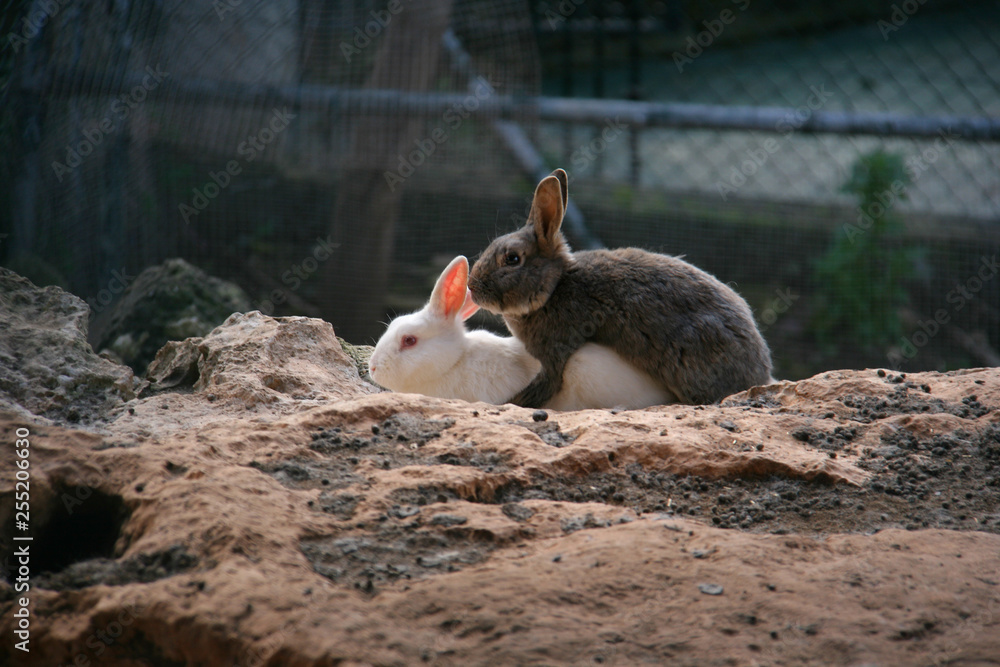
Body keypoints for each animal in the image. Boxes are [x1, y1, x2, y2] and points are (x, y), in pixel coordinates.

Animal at [467, 168, 773, 408]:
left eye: (512, 259)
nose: (471, 286)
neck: (553, 288)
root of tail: (760, 371)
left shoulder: (555, 351)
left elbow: (543, 386)